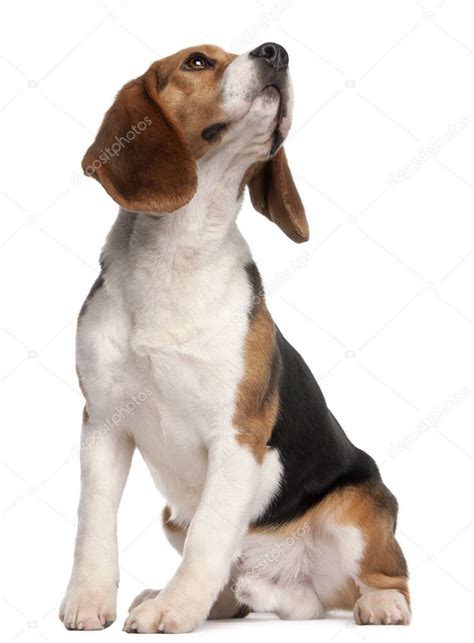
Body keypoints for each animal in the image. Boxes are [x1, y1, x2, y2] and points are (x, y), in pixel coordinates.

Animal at [60, 41, 412, 632]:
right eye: (198, 61)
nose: (276, 51)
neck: (179, 250)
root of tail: (294, 592)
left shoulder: (237, 434)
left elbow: (208, 536)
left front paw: (173, 612)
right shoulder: (102, 424)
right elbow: (94, 520)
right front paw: (90, 599)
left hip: (360, 509)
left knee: (389, 575)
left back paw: (382, 603)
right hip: (172, 517)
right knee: (231, 584)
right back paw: (198, 599)